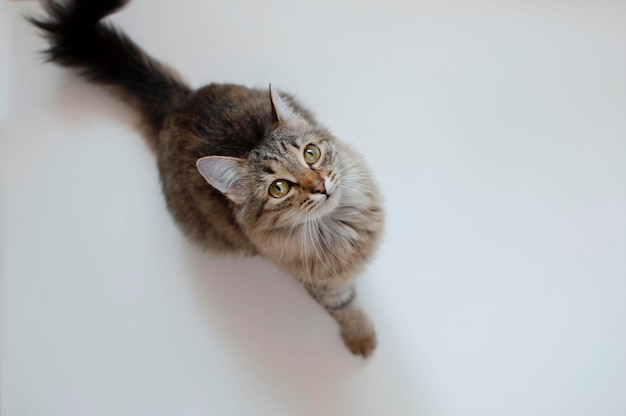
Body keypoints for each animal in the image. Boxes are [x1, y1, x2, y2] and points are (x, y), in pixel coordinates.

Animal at [29, 0, 382, 358]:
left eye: (311, 154)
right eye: (279, 188)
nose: (320, 186)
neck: (338, 223)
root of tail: (181, 104)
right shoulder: (320, 284)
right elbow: (345, 308)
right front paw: (361, 337)